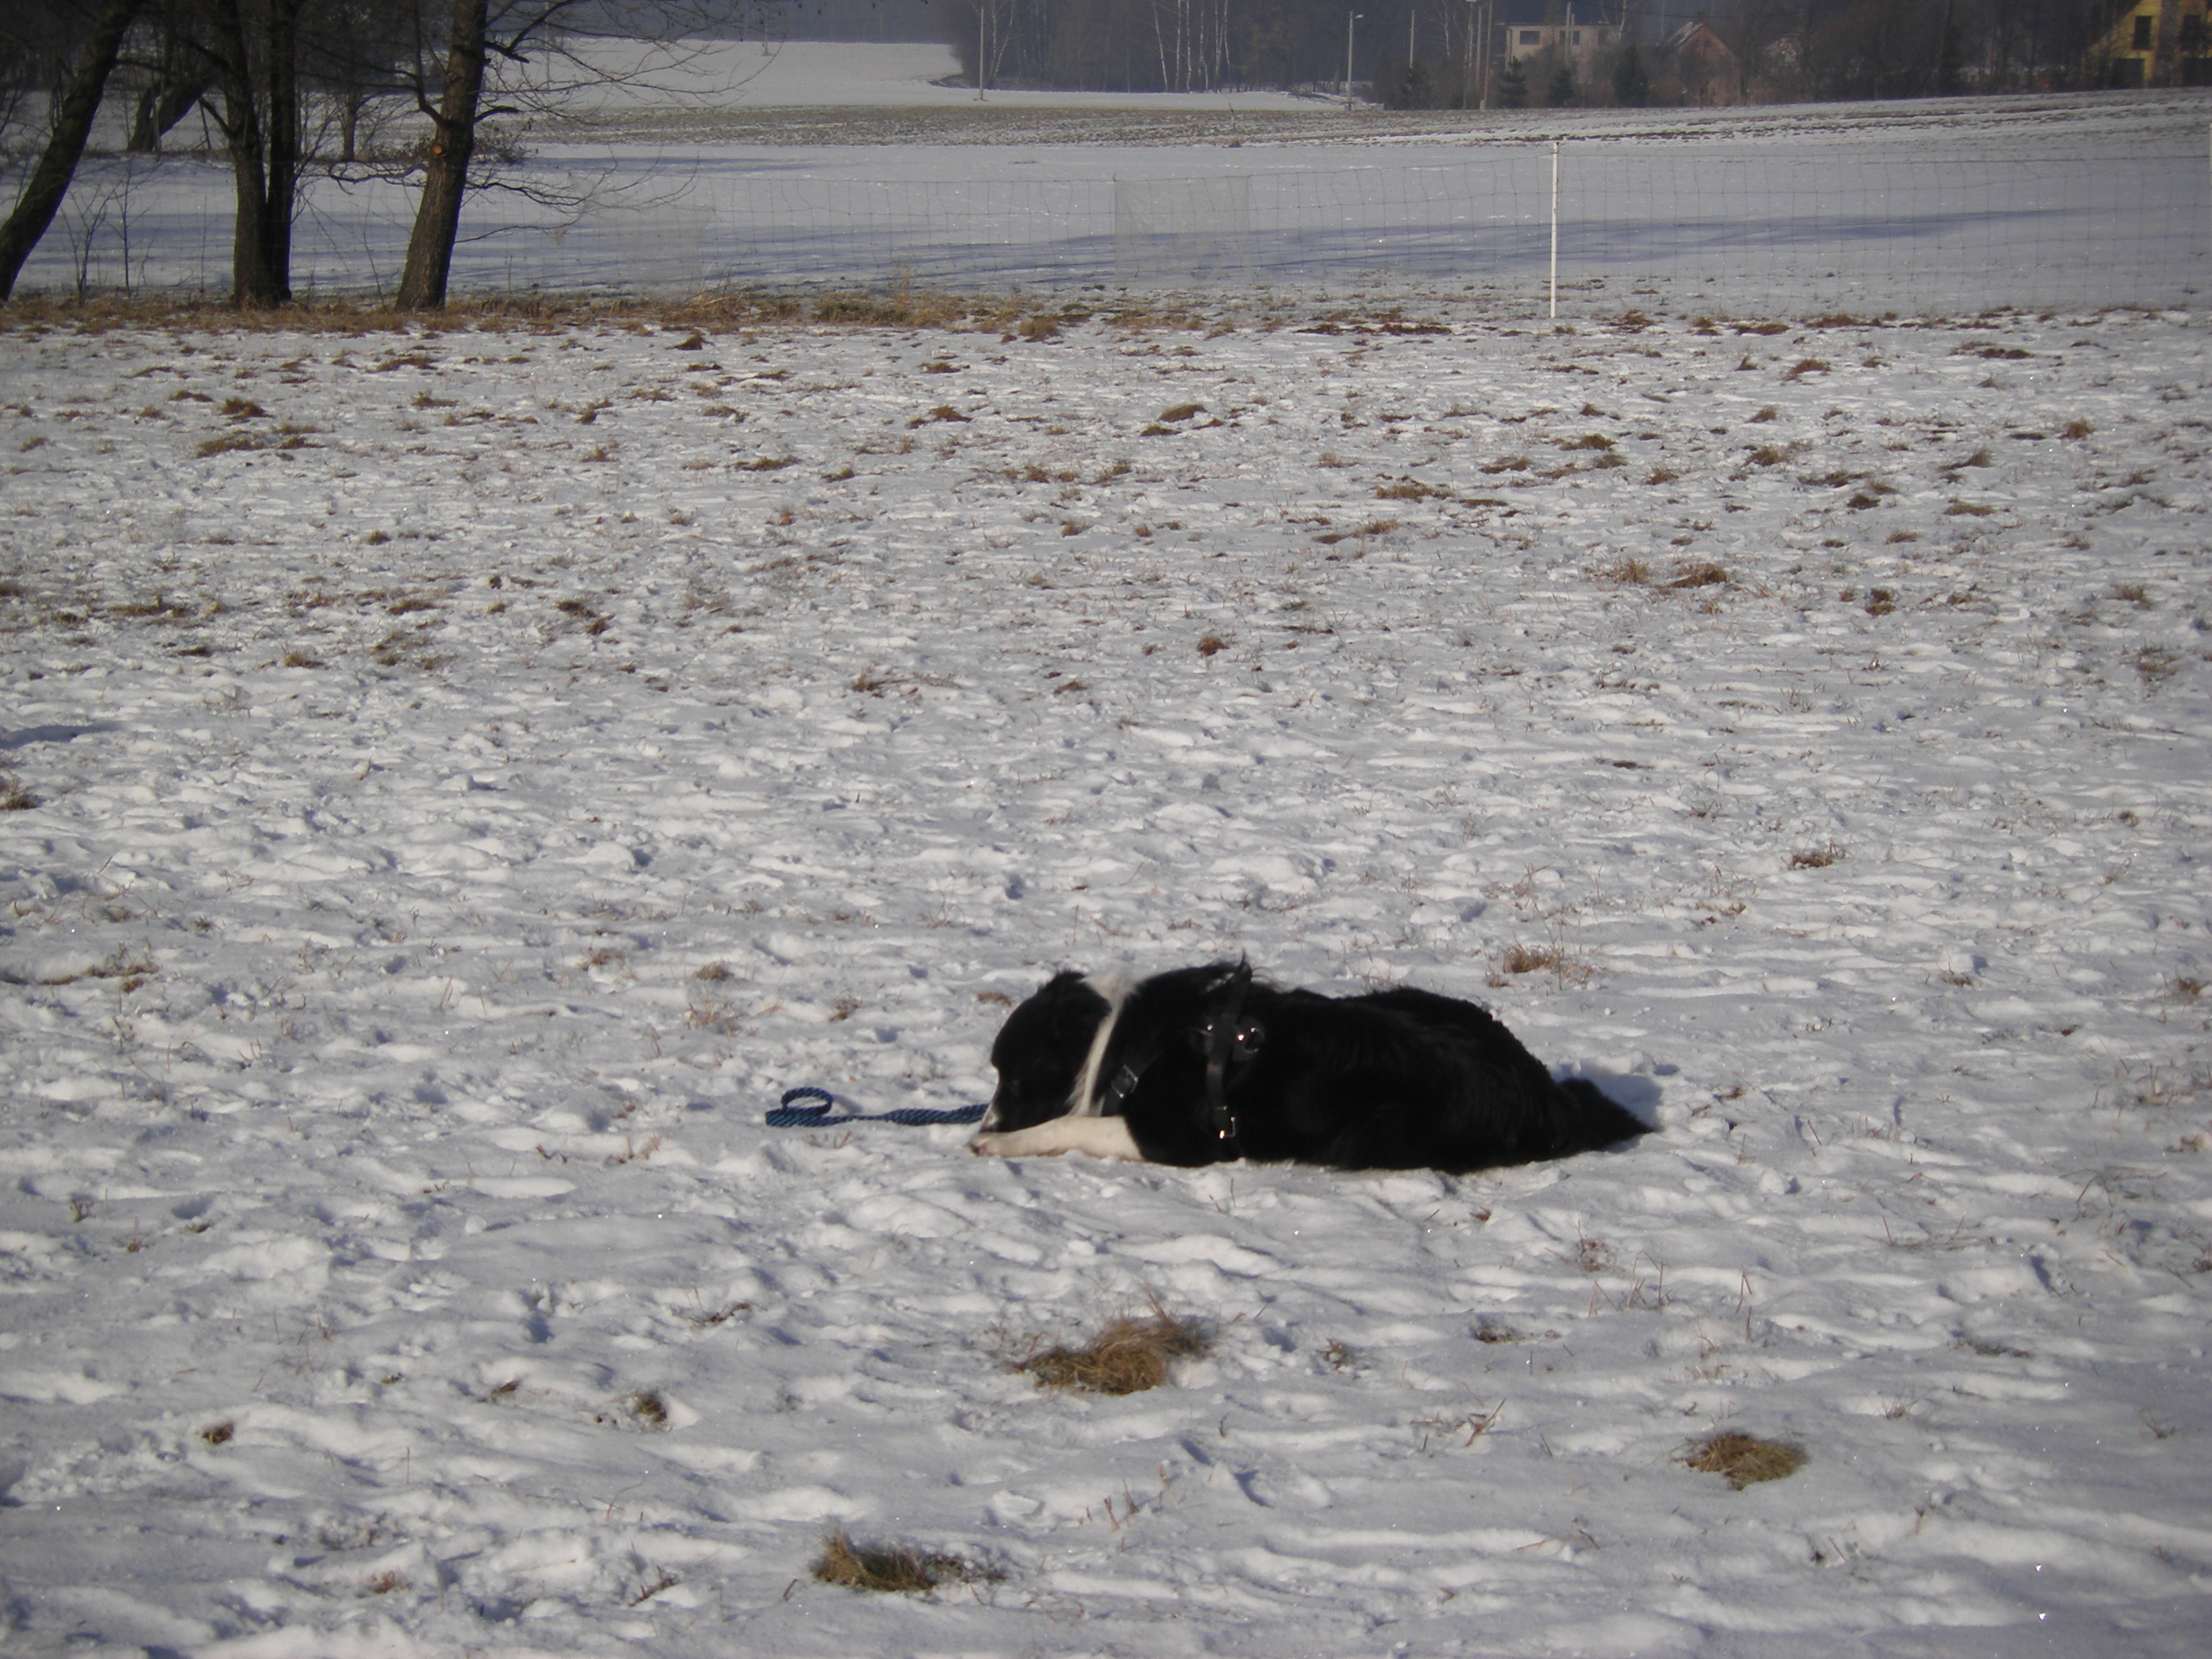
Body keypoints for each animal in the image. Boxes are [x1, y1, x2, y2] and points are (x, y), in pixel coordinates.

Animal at [968, 960, 1645, 1185]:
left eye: (1015, 1081)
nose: (990, 1119)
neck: (1119, 1041)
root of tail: (1546, 1097)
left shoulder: (1176, 1138)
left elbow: (1070, 1127)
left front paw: (999, 1142)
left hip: (1377, 1127)